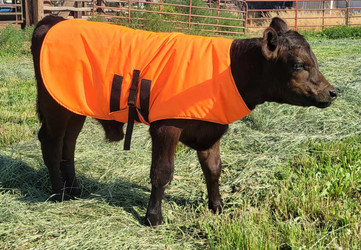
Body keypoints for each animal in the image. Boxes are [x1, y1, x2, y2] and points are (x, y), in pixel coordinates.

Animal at [32, 15, 336, 227]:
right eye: (298, 64)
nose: (332, 92)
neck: (229, 71)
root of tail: (54, 20)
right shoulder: (166, 126)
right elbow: (162, 172)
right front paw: (153, 217)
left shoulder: (210, 128)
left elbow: (213, 169)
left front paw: (217, 207)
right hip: (54, 106)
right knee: (51, 142)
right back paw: (59, 194)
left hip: (73, 107)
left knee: (68, 145)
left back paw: (74, 190)